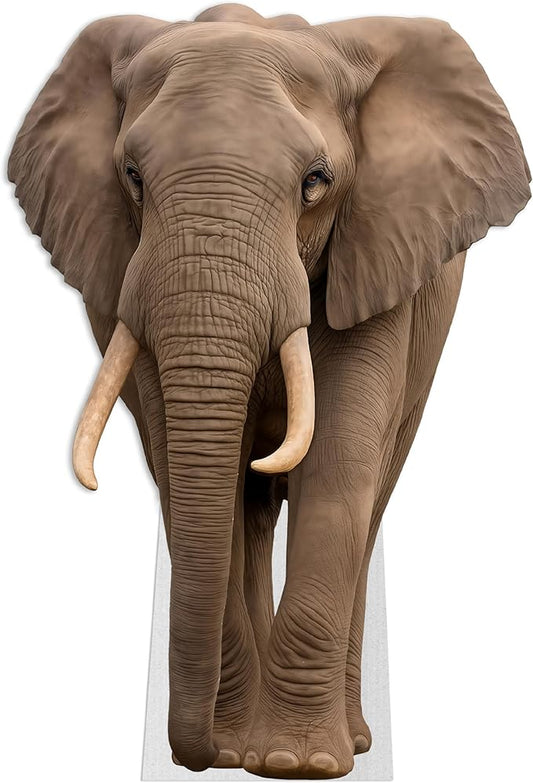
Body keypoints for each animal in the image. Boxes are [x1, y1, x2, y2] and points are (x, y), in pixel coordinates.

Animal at [8, 3, 530, 779]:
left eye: (315, 181)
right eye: (131, 176)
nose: (195, 756)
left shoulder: (375, 247)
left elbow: (338, 460)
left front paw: (293, 761)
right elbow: (185, 468)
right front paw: (237, 748)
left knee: (369, 497)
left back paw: (352, 742)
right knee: (249, 513)